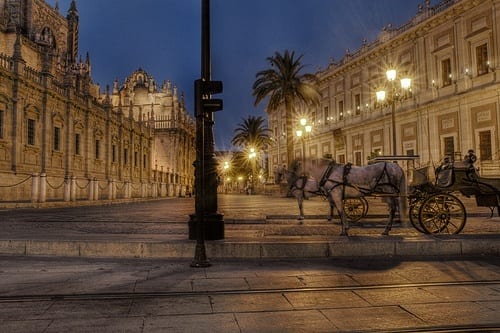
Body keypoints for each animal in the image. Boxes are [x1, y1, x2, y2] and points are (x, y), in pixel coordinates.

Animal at [278, 159, 406, 235]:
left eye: (295, 167)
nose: (295, 180)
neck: (328, 172)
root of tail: (397, 166)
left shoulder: (335, 194)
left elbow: (340, 211)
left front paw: (344, 230)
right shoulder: (334, 195)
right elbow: (341, 211)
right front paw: (345, 228)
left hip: (389, 192)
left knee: (393, 208)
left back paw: (386, 229)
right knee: (394, 208)